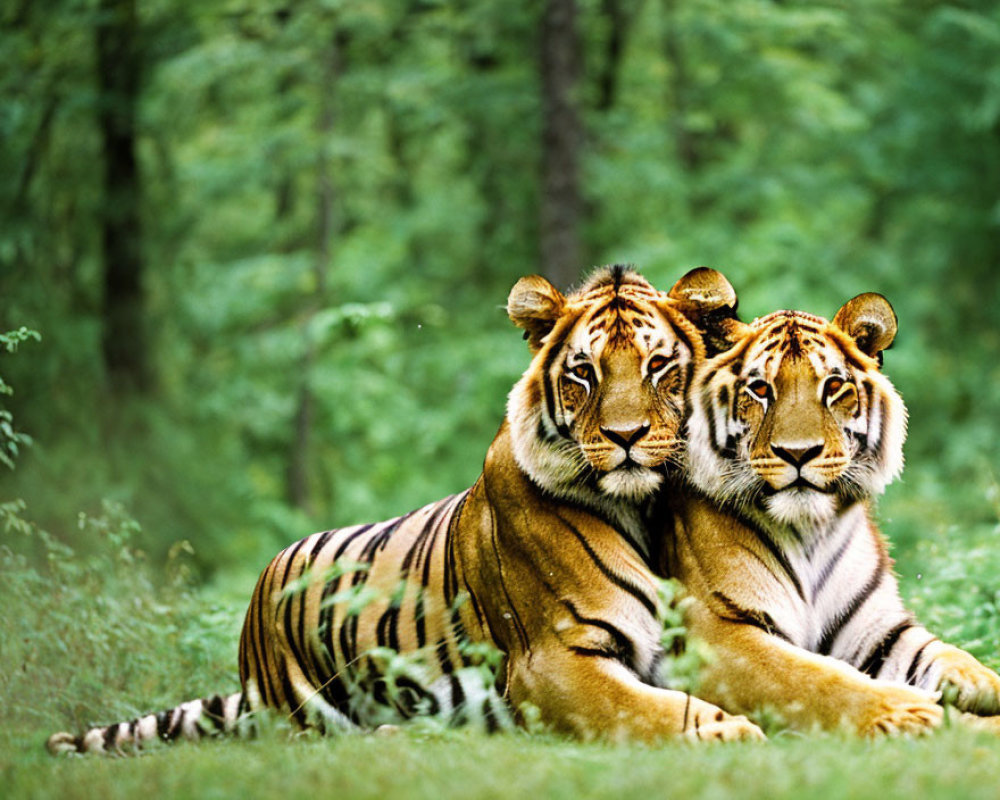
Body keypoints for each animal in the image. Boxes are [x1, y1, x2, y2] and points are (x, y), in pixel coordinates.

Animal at [47, 266, 764, 752]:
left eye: (658, 367)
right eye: (583, 373)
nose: (625, 437)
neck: (645, 508)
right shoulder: (554, 662)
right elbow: (651, 710)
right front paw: (728, 731)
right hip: (302, 709)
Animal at [660, 290, 1000, 736]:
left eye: (834, 386)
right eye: (760, 389)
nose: (798, 452)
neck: (810, 532)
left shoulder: (876, 627)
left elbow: (937, 651)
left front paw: (983, 683)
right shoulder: (719, 635)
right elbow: (814, 677)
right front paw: (907, 712)